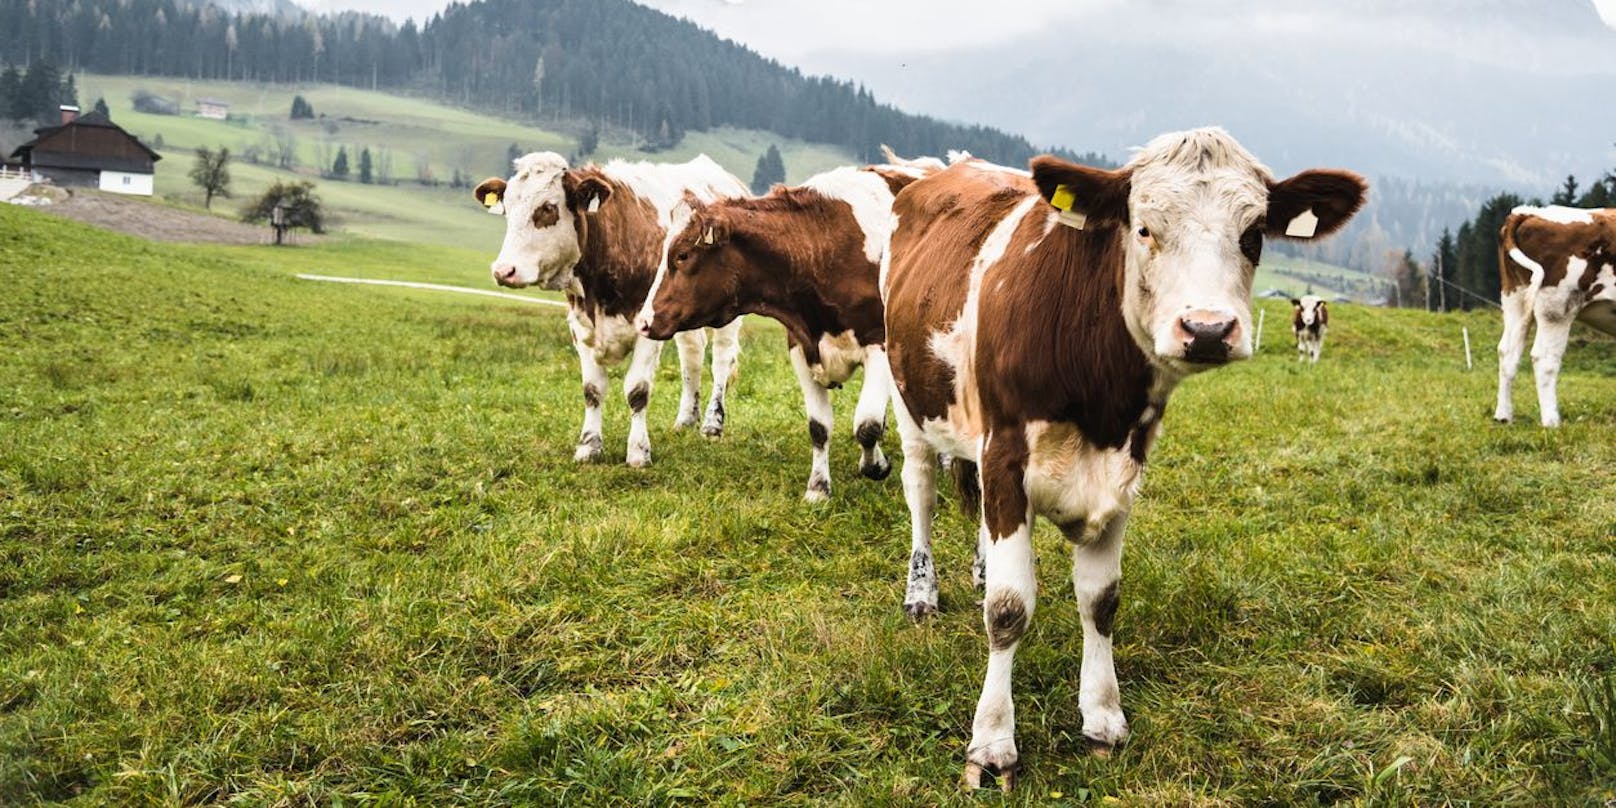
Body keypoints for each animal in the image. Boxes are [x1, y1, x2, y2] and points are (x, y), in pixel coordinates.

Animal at [471, 152, 749, 468]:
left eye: (548, 208)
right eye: (508, 208)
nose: (503, 270)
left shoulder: (646, 326)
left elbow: (637, 390)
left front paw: (638, 452)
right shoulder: (580, 326)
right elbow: (592, 390)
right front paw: (589, 446)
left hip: (727, 315)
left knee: (722, 358)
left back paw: (712, 424)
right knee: (692, 354)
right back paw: (686, 419)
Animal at [879, 127, 1370, 788]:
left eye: (1253, 233)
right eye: (1142, 227)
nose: (1207, 330)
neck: (1096, 395)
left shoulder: (1122, 467)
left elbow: (1101, 599)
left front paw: (1103, 717)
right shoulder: (1005, 452)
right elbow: (1009, 609)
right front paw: (992, 742)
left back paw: (980, 566)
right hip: (909, 397)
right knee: (922, 491)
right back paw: (922, 592)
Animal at [1486, 205, 1616, 426]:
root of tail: (1529, 213)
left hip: (1515, 298)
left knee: (1507, 351)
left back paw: (1504, 416)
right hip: (1556, 307)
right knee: (1544, 358)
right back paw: (1551, 421)